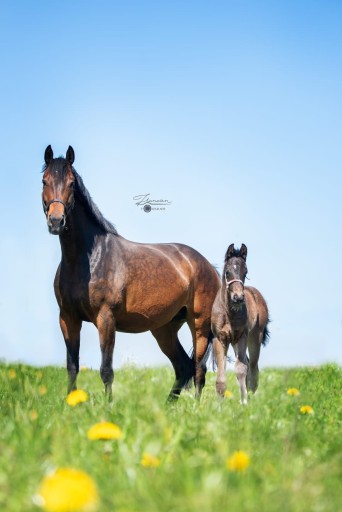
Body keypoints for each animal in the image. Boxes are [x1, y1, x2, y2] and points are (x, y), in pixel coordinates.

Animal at [42, 144, 219, 400]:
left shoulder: (106, 319)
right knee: (183, 367)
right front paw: (70, 403)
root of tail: (207, 265)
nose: (56, 221)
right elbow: (72, 366)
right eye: (44, 181)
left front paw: (108, 405)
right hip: (164, 329)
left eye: (71, 183)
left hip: (199, 325)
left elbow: (106, 370)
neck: (88, 260)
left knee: (198, 370)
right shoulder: (68, 318)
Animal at [211, 244, 270, 404]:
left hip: (254, 337)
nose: (238, 297)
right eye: (227, 272)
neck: (229, 313)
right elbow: (221, 376)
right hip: (234, 342)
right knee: (248, 364)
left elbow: (240, 369)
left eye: (246, 272)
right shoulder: (220, 338)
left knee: (253, 367)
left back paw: (251, 397)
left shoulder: (242, 336)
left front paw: (244, 403)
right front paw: (218, 406)